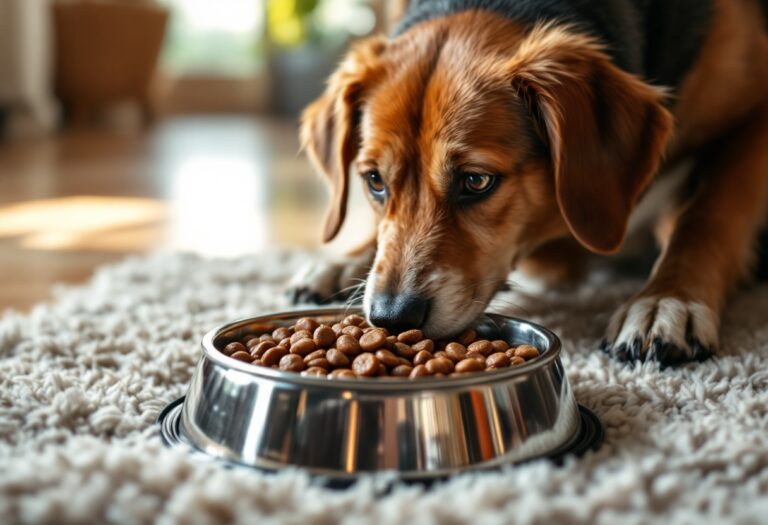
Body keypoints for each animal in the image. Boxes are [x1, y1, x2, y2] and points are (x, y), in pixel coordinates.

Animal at [292, 0, 768, 364]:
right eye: (374, 181)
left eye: (476, 181)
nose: (391, 317)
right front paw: (346, 262)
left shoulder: (753, 121)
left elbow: (706, 218)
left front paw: (668, 300)